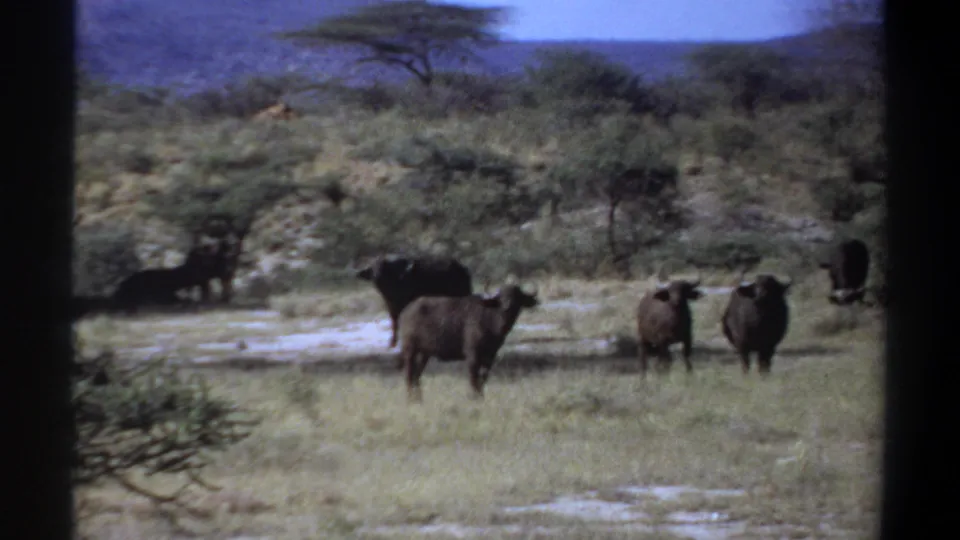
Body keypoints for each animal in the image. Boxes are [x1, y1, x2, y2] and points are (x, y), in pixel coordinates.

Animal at [396, 283, 539, 403]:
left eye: (517, 296)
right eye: (501, 297)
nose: (507, 306)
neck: (491, 321)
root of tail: (406, 312)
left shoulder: (490, 357)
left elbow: (483, 378)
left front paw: (480, 397)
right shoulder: (472, 355)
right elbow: (473, 378)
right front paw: (473, 398)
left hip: (424, 354)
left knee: (416, 376)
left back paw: (418, 399)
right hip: (410, 350)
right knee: (408, 374)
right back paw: (410, 399)